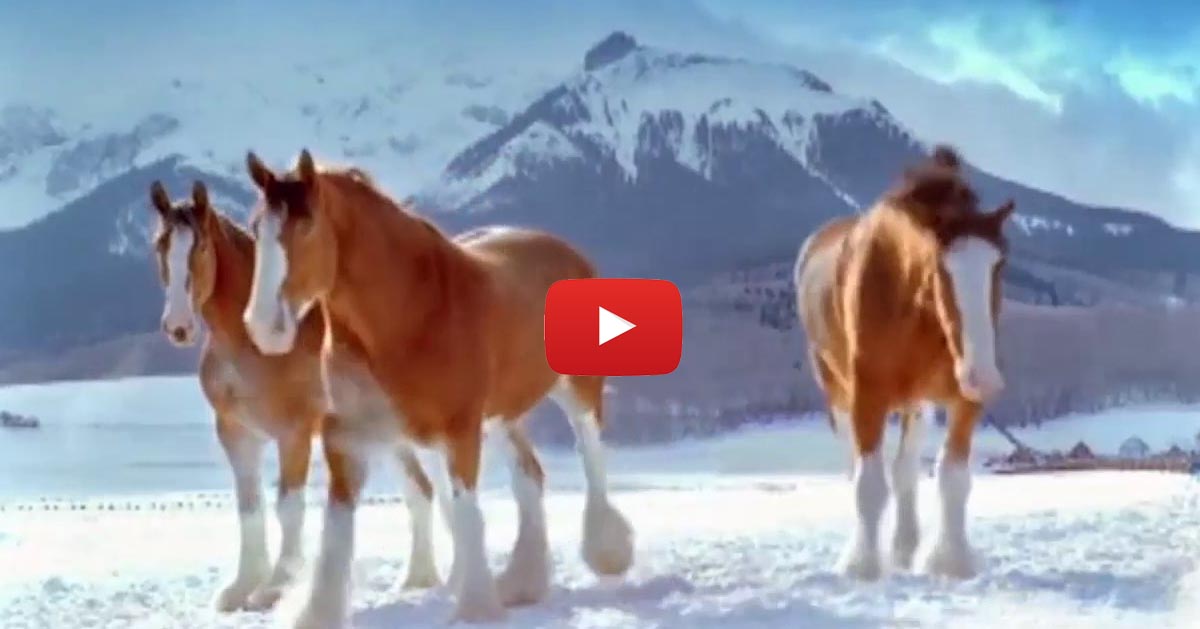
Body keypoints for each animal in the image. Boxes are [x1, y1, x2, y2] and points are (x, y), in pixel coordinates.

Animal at [148, 178, 448, 612]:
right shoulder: (236, 434)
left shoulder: (294, 432)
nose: (178, 326)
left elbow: (288, 507)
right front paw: (241, 586)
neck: (251, 345)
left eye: (200, 247)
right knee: (420, 491)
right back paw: (415, 580)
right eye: (160, 244)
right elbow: (249, 508)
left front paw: (275, 587)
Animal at [236, 150, 638, 624]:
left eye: (307, 225)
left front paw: (476, 607)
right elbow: (335, 535)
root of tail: (563, 249)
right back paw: (522, 582)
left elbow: (466, 513)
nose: (264, 326)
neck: (409, 317)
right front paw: (317, 614)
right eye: (256, 226)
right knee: (529, 475)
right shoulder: (347, 437)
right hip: (500, 415)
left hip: (576, 390)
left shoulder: (459, 430)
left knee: (590, 451)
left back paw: (606, 553)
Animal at [796, 146, 1012, 580]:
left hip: (917, 403)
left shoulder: (962, 400)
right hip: (837, 393)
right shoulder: (868, 397)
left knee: (905, 470)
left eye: (999, 265)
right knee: (858, 468)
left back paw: (905, 546)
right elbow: (868, 484)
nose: (984, 377)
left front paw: (951, 561)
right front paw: (861, 564)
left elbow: (952, 478)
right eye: (941, 268)